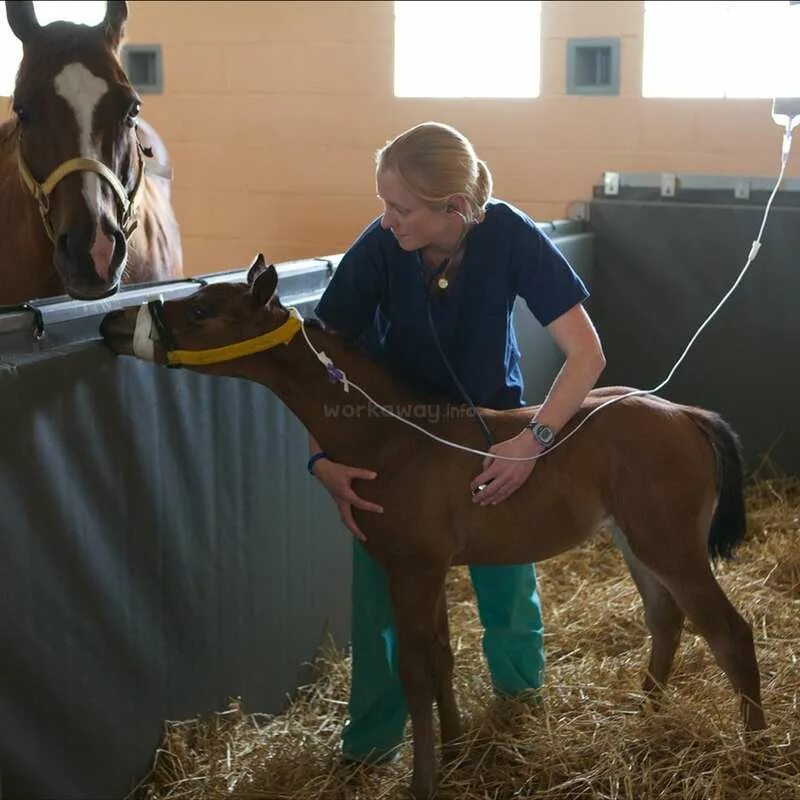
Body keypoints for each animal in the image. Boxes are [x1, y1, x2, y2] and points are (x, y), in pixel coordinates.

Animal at [101, 258, 768, 800]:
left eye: (201, 310)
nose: (111, 325)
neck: (393, 436)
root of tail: (686, 414)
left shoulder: (411, 571)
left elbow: (416, 672)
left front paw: (423, 781)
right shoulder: (430, 571)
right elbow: (443, 658)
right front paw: (455, 751)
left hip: (670, 544)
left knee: (730, 633)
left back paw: (758, 756)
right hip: (635, 542)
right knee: (666, 618)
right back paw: (643, 714)